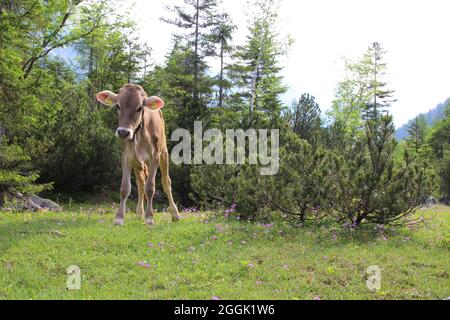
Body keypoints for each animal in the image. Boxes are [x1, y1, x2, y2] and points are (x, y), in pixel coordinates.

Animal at [96, 84, 180, 225]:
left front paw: (150, 218)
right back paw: (140, 213)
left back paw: (175, 214)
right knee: (140, 183)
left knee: (166, 182)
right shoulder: (127, 157)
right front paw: (119, 218)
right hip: (138, 162)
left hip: (164, 153)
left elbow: (150, 187)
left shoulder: (155, 157)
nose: (124, 132)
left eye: (139, 108)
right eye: (118, 106)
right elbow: (125, 188)